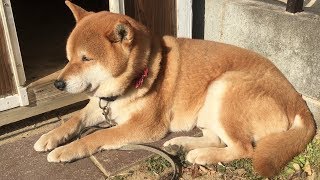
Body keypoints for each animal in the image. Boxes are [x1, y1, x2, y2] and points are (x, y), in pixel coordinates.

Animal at [33, 0, 316, 176]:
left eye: (86, 58)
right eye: (69, 57)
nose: (58, 83)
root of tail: (297, 100)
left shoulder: (144, 126)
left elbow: (96, 137)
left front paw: (66, 150)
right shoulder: (98, 104)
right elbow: (74, 119)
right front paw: (51, 137)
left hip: (224, 86)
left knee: (244, 148)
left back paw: (202, 155)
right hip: (208, 107)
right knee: (217, 138)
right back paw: (181, 145)